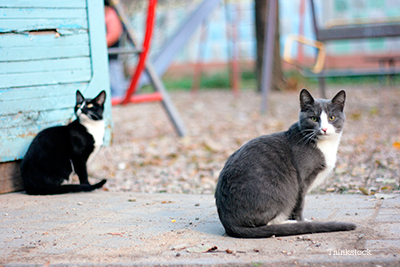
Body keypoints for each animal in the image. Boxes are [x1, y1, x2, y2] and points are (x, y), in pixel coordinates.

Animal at [216, 89, 356, 239]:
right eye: (313, 118)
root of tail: (229, 223)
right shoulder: (301, 181)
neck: (325, 145)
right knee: (266, 223)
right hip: (283, 193)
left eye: (332, 118)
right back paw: (290, 223)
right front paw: (301, 221)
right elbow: (299, 204)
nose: (324, 129)